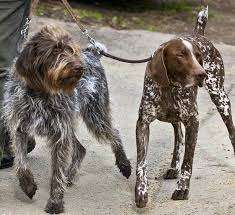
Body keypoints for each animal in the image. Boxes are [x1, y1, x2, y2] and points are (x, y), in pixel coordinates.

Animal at [3, 25, 131, 213]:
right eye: (54, 50)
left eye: (71, 50)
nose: (79, 67)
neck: (41, 92)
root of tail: (92, 54)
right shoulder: (20, 129)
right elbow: (21, 162)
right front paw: (27, 185)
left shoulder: (59, 135)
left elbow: (57, 173)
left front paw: (55, 202)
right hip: (71, 124)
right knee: (81, 148)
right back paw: (69, 176)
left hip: (95, 116)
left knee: (114, 133)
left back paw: (124, 165)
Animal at [135, 6, 235, 208]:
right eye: (180, 55)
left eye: (198, 56)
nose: (202, 74)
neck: (170, 88)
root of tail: (198, 33)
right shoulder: (143, 123)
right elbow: (141, 162)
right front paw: (141, 191)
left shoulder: (193, 121)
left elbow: (188, 162)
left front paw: (182, 189)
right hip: (175, 118)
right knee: (178, 137)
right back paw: (173, 167)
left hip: (221, 99)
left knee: (231, 132)